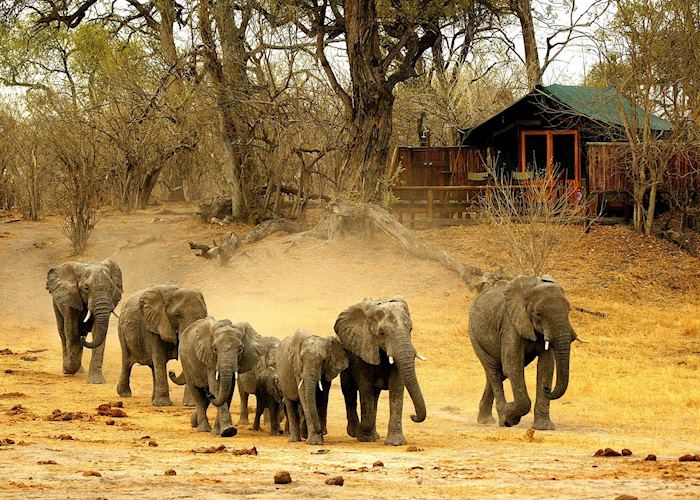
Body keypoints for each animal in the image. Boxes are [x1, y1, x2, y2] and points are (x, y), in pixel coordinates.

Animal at [334, 296, 426, 446]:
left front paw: (396, 443)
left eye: (411, 329)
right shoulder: (363, 346)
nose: (413, 416)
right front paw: (365, 437)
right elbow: (365, 387)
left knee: (374, 395)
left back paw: (373, 434)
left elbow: (396, 388)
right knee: (349, 390)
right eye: (381, 333)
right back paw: (354, 432)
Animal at [468, 274, 576, 430]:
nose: (547, 389)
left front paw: (544, 427)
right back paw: (502, 420)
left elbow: (546, 367)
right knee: (494, 371)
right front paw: (510, 416)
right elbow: (513, 366)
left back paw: (485, 420)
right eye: (538, 314)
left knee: (497, 373)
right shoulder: (510, 322)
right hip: (474, 335)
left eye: (569, 311)